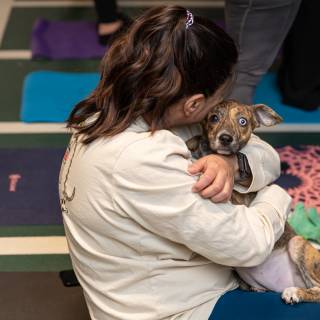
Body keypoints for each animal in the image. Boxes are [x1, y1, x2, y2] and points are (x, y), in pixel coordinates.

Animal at [185, 99, 320, 302]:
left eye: (243, 121)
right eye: (214, 118)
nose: (226, 138)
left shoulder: (239, 202)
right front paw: (193, 143)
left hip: (297, 243)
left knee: (318, 290)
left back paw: (295, 292)